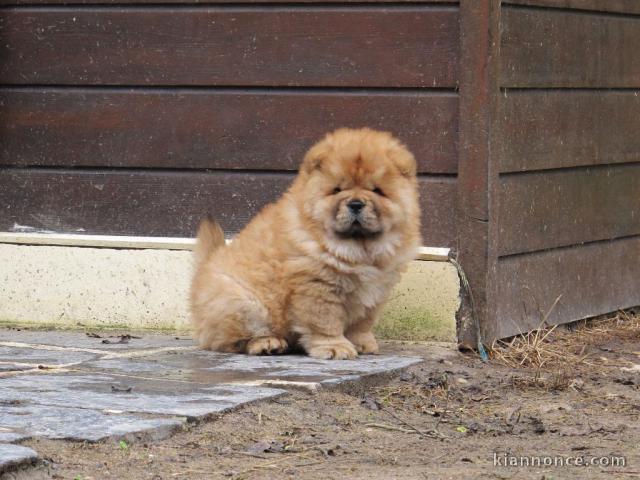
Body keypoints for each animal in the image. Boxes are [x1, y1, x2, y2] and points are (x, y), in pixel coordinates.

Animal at [189, 127, 420, 360]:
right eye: (337, 190)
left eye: (377, 191)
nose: (355, 203)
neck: (359, 248)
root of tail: (203, 271)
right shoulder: (316, 285)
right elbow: (325, 321)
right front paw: (335, 348)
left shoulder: (376, 289)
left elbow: (363, 322)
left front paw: (362, 343)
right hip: (244, 303)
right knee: (229, 341)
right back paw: (267, 343)